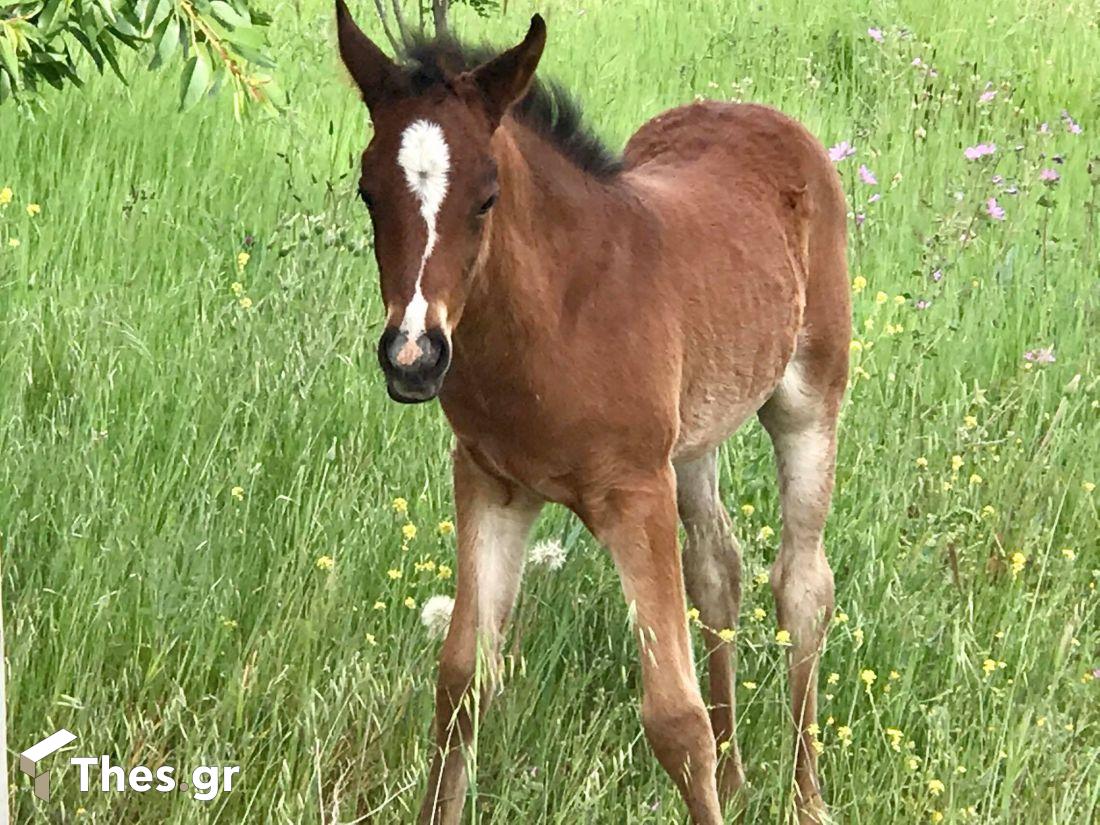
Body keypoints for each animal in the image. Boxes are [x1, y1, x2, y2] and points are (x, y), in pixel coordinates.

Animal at [334, 3, 849, 822]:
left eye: (486, 196)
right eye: (368, 191)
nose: (412, 357)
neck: (558, 317)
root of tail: (761, 114)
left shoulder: (634, 491)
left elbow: (674, 718)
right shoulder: (492, 485)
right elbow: (461, 677)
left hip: (809, 399)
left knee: (802, 587)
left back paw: (806, 800)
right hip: (693, 437)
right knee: (718, 566)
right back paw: (739, 777)